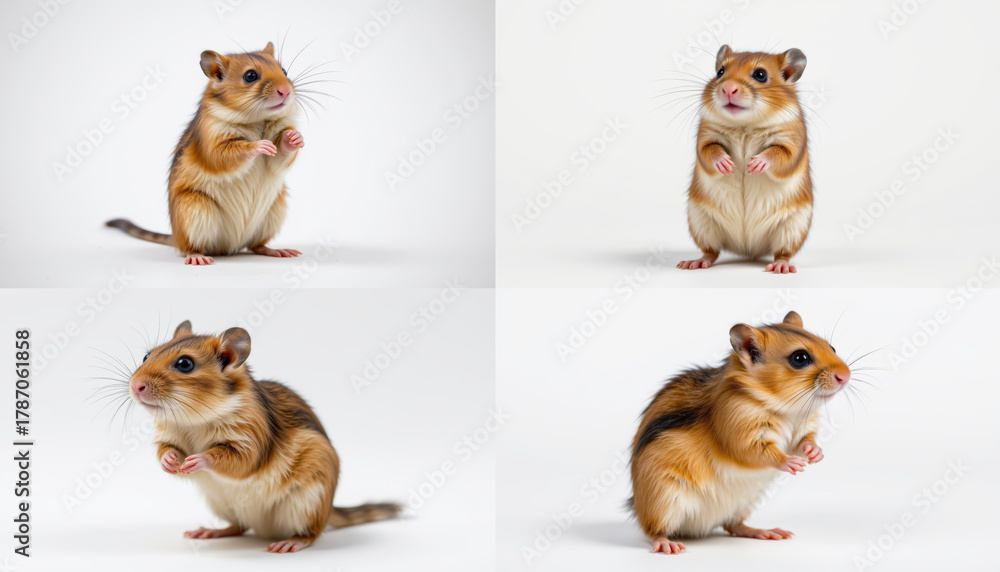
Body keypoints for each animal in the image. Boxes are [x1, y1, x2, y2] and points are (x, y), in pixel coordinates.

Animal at [107, 42, 304, 266]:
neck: (258, 119)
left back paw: (277, 251)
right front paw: (260, 145)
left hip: (274, 211)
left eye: (284, 70)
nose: (286, 91)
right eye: (250, 76)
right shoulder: (213, 143)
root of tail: (231, 247)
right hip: (196, 210)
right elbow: (229, 154)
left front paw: (295, 138)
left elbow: (280, 158)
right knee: (191, 248)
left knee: (256, 245)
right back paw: (198, 257)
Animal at [128, 320, 401, 553]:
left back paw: (291, 543)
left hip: (309, 503)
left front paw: (198, 460)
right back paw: (210, 532)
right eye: (147, 355)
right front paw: (170, 461)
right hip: (223, 505)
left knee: (312, 533)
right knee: (239, 526)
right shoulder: (170, 435)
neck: (194, 419)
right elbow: (166, 449)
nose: (135, 385)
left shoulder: (251, 440)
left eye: (185, 364)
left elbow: (236, 460)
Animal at [628, 311, 849, 554]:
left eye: (832, 347)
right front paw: (791, 463)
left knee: (733, 526)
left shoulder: (804, 428)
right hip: (662, 499)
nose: (845, 376)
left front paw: (815, 453)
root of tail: (700, 527)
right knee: (653, 530)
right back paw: (668, 544)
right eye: (799, 358)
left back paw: (767, 532)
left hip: (745, 502)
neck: (788, 410)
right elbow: (757, 452)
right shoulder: (738, 429)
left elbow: (803, 441)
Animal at [677, 45, 811, 274]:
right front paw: (727, 165)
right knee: (711, 251)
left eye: (760, 75)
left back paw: (781, 267)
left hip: (793, 228)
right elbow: (709, 151)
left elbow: (779, 154)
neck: (745, 124)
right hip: (701, 223)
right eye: (720, 72)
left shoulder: (791, 142)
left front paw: (754, 164)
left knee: (783, 252)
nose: (728, 89)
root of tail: (748, 250)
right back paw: (694, 262)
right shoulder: (705, 136)